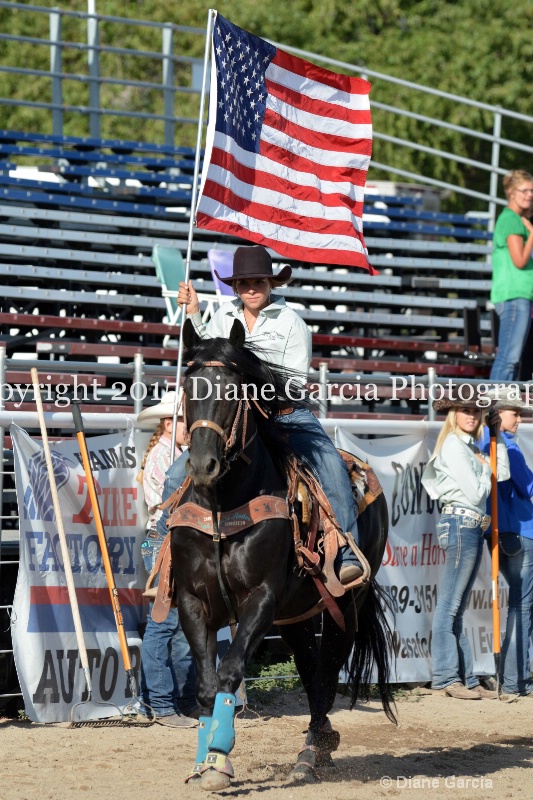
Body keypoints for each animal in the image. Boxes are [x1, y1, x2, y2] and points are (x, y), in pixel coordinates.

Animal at [168, 320, 392, 792]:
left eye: (233, 391)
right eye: (188, 387)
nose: (203, 465)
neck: (224, 508)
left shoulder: (262, 598)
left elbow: (230, 671)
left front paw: (219, 760)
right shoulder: (192, 602)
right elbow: (206, 685)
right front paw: (201, 763)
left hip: (345, 604)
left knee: (325, 675)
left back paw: (311, 753)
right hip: (296, 614)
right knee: (308, 667)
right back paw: (323, 742)